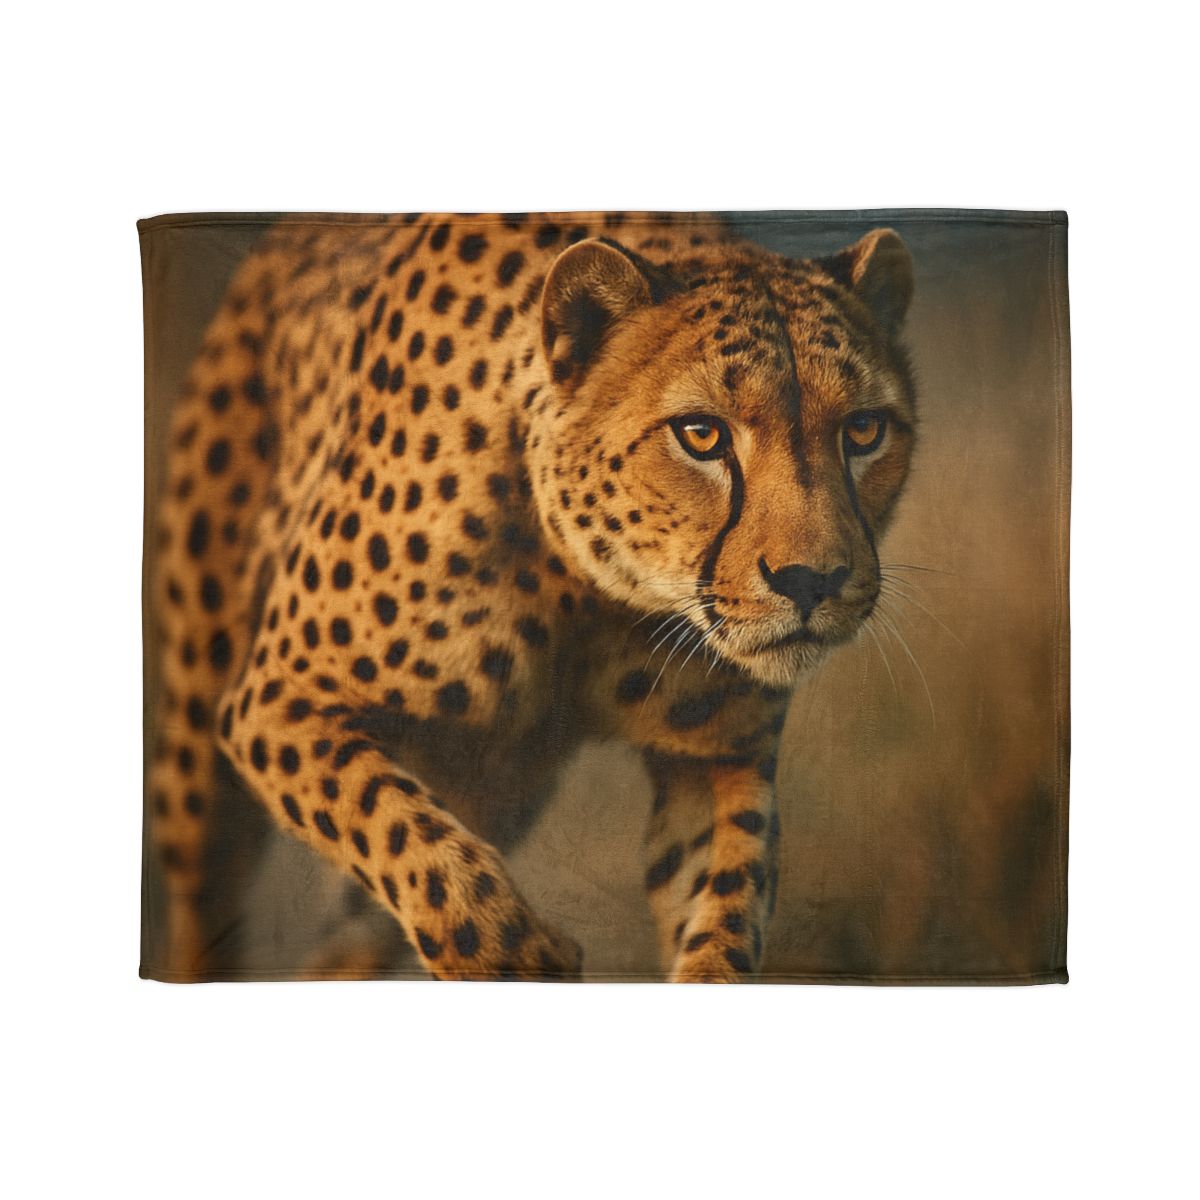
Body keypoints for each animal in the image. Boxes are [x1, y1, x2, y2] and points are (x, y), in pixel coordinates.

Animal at [145, 211, 916, 982]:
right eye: (701, 434)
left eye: (863, 430)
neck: (590, 593)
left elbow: (726, 913)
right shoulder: (277, 700)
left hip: (492, 784)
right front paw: (516, 958)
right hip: (201, 750)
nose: (812, 580)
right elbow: (399, 832)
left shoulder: (716, 758)